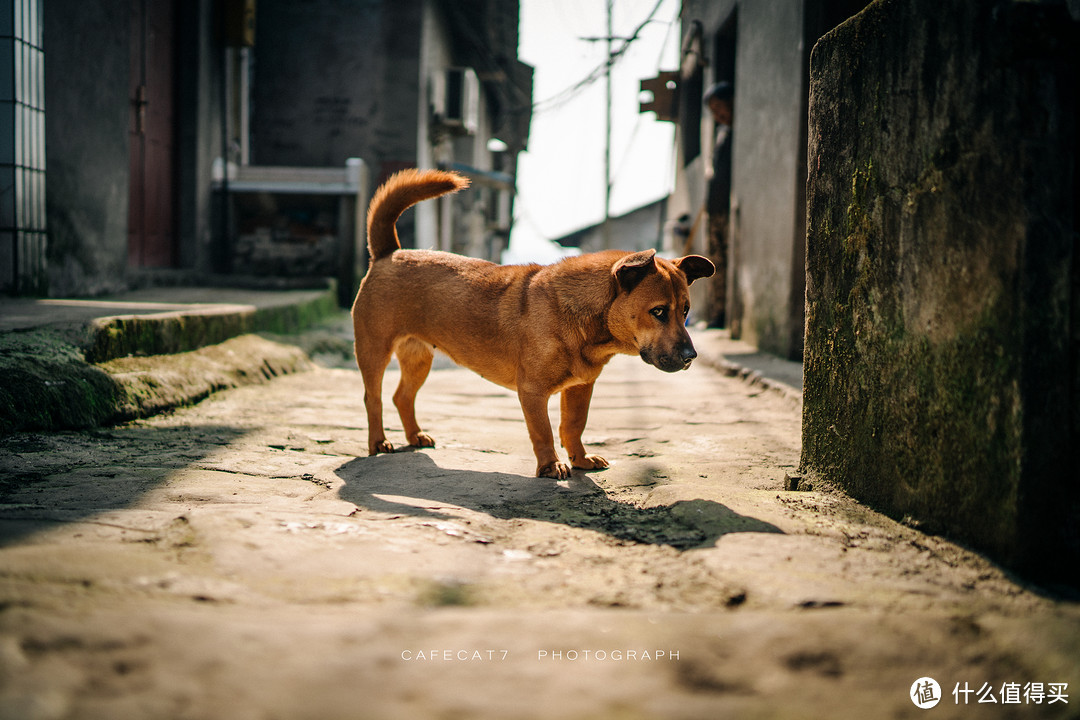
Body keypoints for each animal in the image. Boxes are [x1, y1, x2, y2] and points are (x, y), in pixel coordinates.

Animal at [349, 170, 712, 479]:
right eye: (659, 311)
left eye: (685, 311)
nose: (691, 356)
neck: (585, 321)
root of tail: (389, 253)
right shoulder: (533, 392)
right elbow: (544, 431)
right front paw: (551, 466)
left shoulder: (581, 387)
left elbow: (573, 426)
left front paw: (580, 459)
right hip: (374, 352)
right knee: (373, 398)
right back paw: (378, 442)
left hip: (419, 359)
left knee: (401, 397)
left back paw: (415, 435)